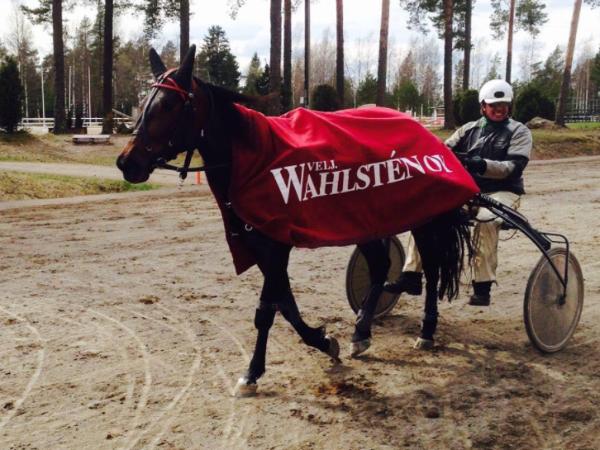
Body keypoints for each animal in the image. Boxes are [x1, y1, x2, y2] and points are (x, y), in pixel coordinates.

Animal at [116, 45, 472, 396]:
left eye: (169, 105)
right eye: (145, 103)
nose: (126, 162)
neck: (255, 161)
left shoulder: (275, 246)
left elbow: (266, 311)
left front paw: (253, 371)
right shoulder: (261, 246)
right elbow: (285, 304)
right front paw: (322, 341)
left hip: (425, 215)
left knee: (432, 267)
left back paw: (426, 329)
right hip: (367, 219)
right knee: (381, 265)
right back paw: (361, 331)